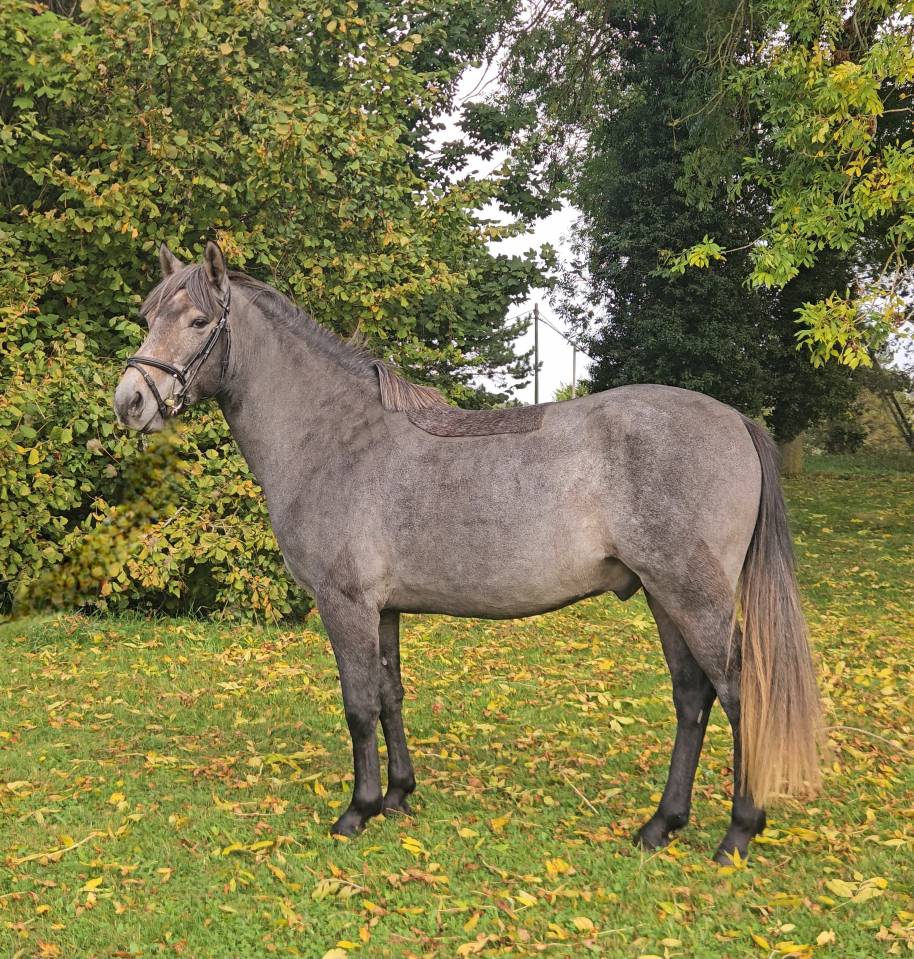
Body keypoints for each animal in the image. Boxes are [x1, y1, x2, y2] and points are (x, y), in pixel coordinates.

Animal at [114, 241, 821, 862]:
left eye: (198, 320)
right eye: (148, 317)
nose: (130, 402)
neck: (333, 437)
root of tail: (735, 419)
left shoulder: (345, 605)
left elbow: (358, 704)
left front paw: (357, 811)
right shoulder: (384, 609)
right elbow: (390, 694)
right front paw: (397, 795)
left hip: (693, 596)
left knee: (737, 693)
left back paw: (738, 832)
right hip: (663, 597)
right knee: (691, 698)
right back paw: (661, 825)